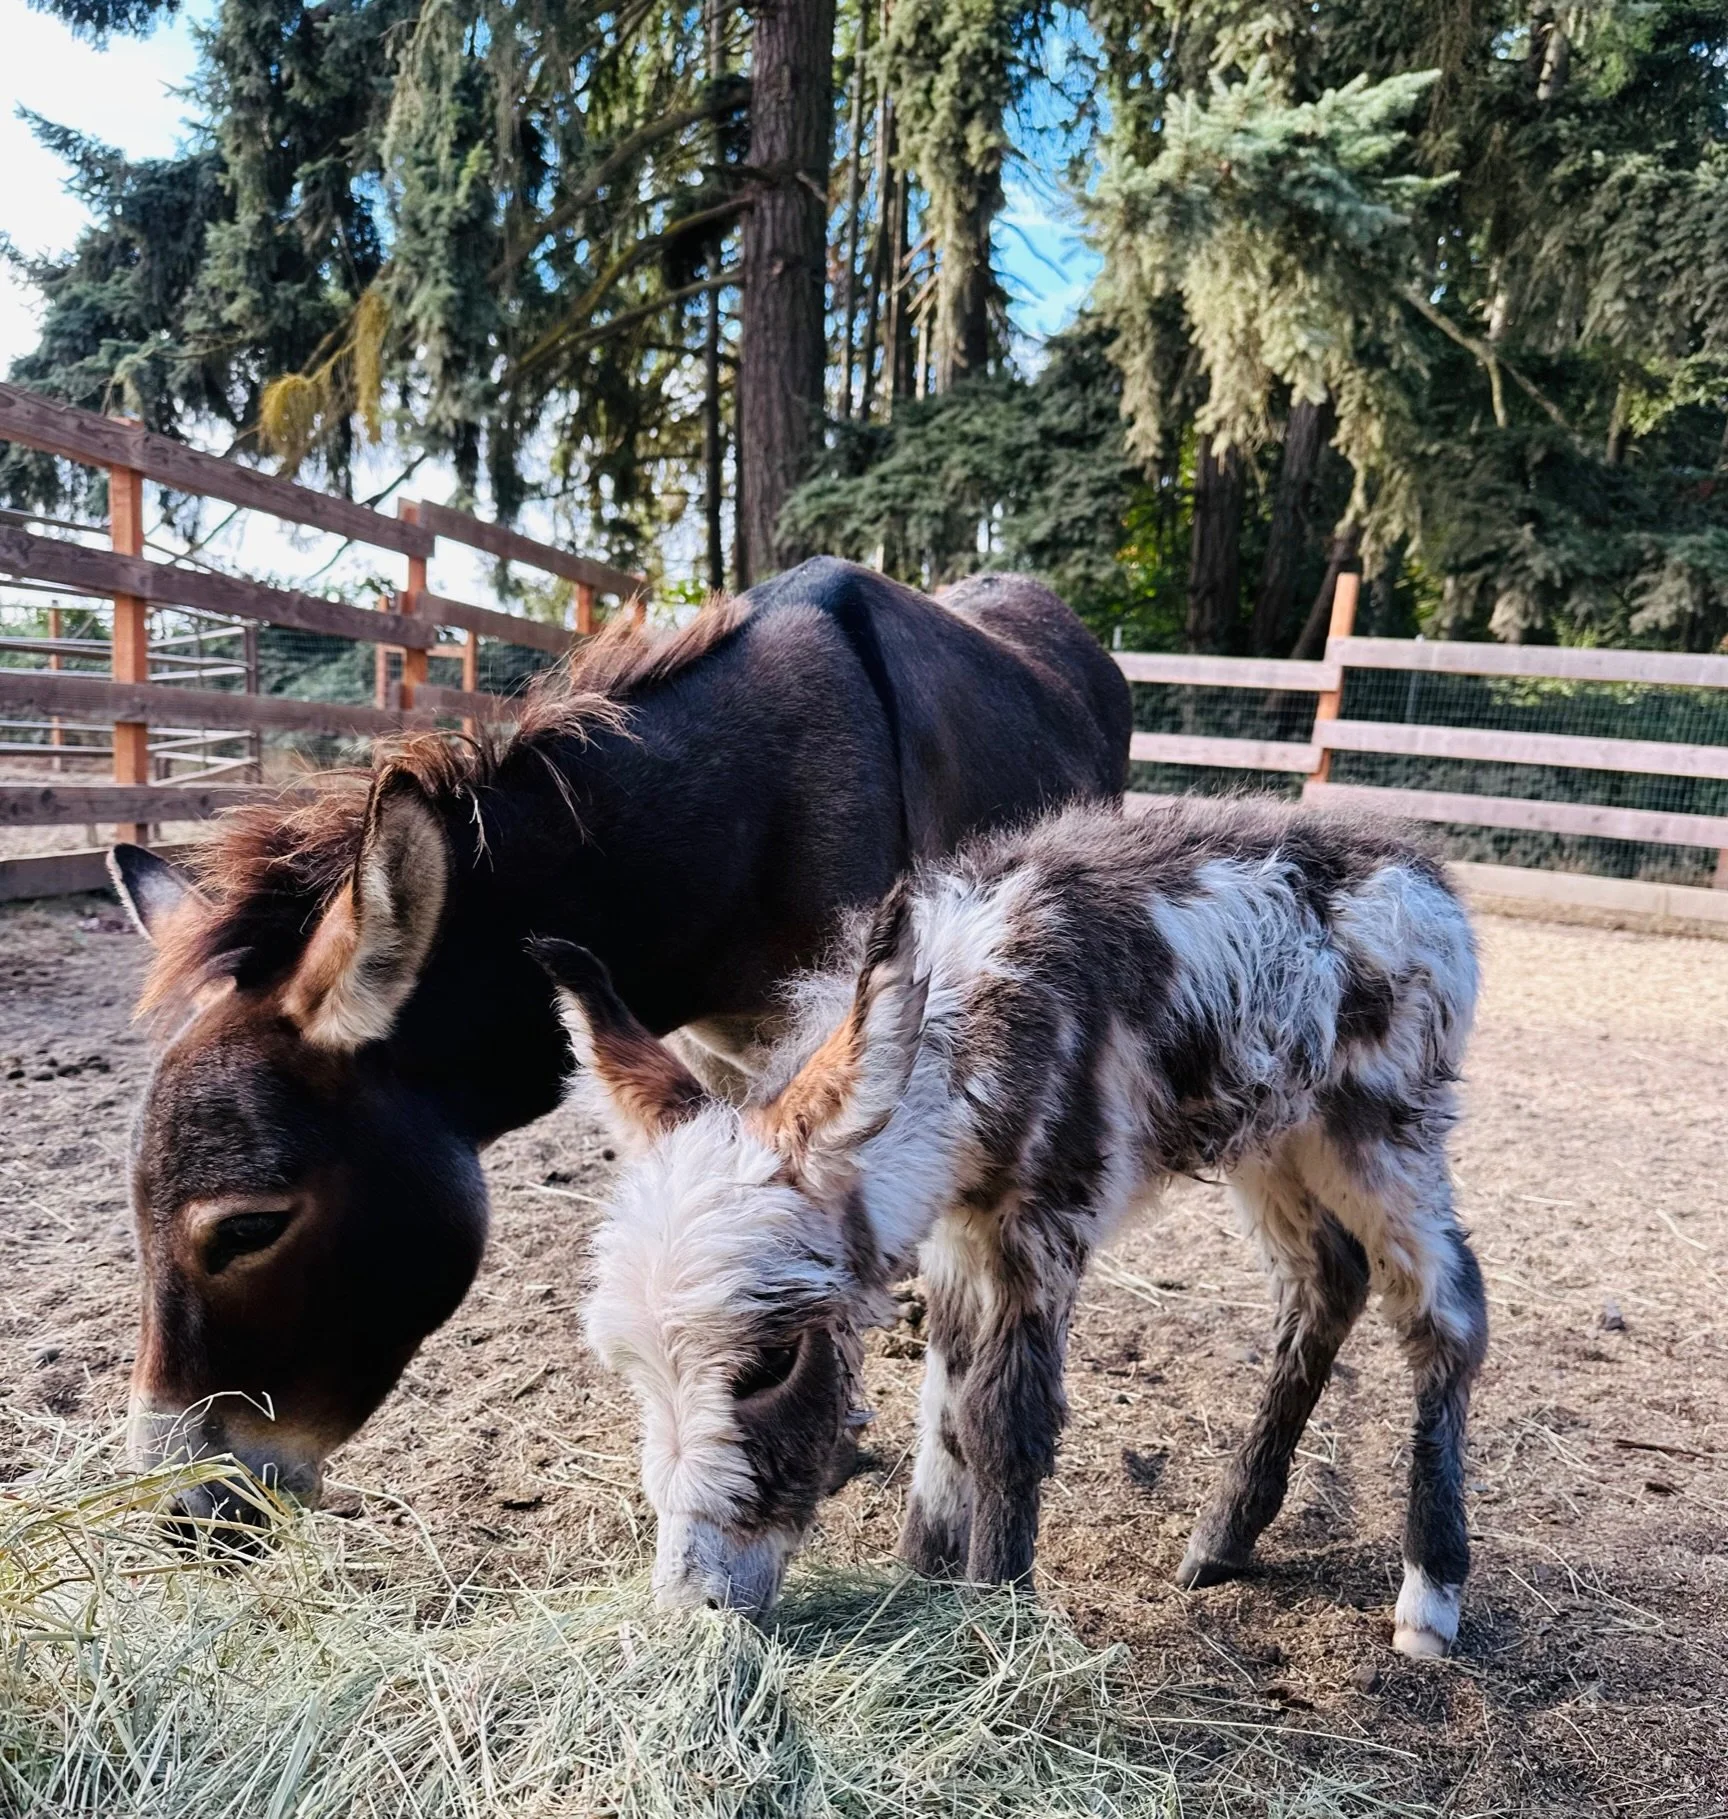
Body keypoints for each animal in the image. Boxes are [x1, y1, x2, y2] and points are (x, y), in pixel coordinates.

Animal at [548, 795, 1487, 1658]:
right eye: (628, 1369)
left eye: (773, 1361)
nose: (693, 1604)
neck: (982, 1017)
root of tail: (1417, 862)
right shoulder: (954, 1234)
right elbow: (945, 1413)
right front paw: (920, 1582)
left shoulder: (1042, 1226)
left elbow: (1004, 1423)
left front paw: (995, 1624)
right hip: (1276, 1134)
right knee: (1325, 1281)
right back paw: (1223, 1540)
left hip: (1378, 1127)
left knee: (1447, 1311)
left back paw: (1430, 1596)